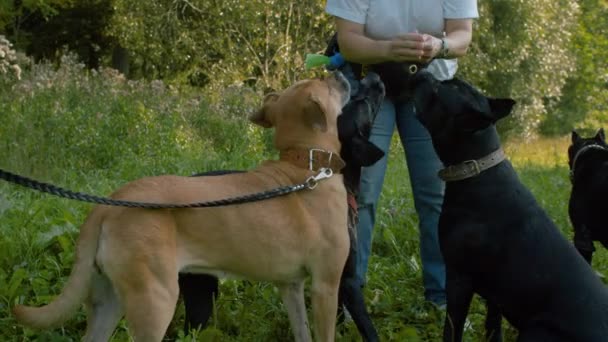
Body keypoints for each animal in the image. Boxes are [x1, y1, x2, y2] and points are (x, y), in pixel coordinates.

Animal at [13, 71, 352, 340]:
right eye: (323, 81)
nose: (340, 73)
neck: (305, 163)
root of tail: (107, 205)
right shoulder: (325, 284)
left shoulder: (290, 285)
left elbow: (302, 332)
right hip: (154, 300)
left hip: (108, 300)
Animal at [177, 71, 384, 340]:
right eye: (363, 103)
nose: (372, 75)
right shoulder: (338, 282)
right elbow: (365, 330)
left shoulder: (314, 283)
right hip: (200, 293)